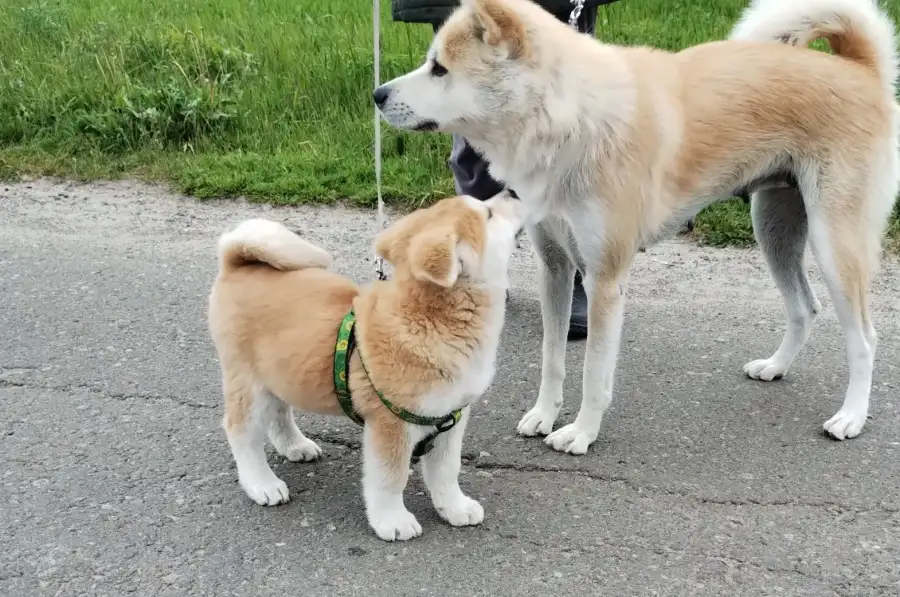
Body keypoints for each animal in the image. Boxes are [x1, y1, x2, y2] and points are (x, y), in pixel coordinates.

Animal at [208, 196, 524, 540]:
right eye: (488, 213)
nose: (513, 193)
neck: (430, 321)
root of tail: (237, 262)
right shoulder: (391, 423)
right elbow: (390, 478)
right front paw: (392, 520)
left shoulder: (451, 417)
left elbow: (446, 471)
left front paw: (454, 507)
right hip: (248, 383)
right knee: (241, 431)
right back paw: (261, 483)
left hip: (280, 373)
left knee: (279, 413)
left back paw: (295, 446)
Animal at [372, 0, 900, 452]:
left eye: (440, 68)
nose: (377, 95)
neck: (571, 118)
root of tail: (859, 70)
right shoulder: (555, 270)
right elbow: (552, 358)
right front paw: (545, 414)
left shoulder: (605, 281)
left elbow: (593, 372)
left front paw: (581, 432)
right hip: (774, 228)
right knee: (805, 307)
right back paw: (776, 367)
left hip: (835, 245)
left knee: (864, 339)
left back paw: (851, 416)